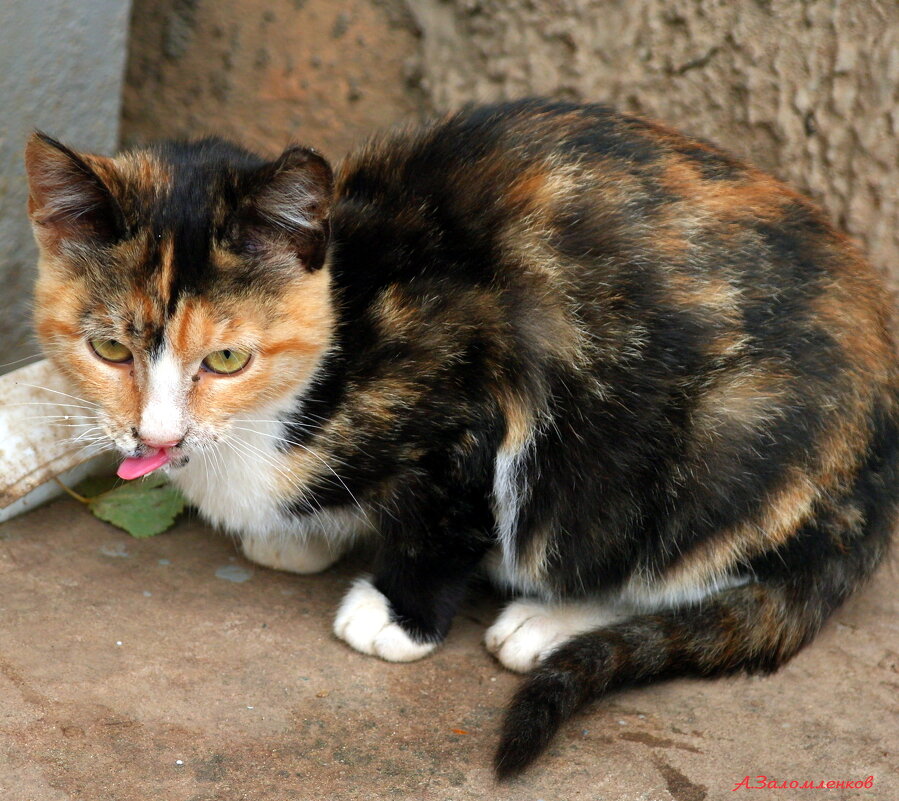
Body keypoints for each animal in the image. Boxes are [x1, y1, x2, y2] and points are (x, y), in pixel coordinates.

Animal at [26, 98, 899, 776]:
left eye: (227, 358)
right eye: (109, 348)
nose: (153, 433)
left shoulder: (471, 389)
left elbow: (446, 513)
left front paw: (396, 613)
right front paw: (301, 536)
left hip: (713, 445)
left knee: (676, 559)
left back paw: (548, 620)